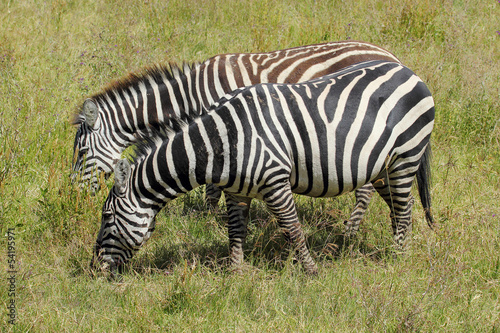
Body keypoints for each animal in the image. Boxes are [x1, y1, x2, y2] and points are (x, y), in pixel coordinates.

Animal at [71, 40, 398, 233]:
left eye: (82, 153)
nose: (75, 198)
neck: (190, 95)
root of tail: (390, 55)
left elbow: (212, 187)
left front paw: (208, 218)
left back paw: (350, 230)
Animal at [92, 60, 436, 274]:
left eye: (107, 217)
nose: (95, 270)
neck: (219, 141)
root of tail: (407, 70)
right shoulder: (235, 191)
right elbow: (235, 230)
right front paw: (235, 272)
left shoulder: (275, 181)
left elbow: (293, 229)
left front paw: (311, 272)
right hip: (381, 165)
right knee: (398, 207)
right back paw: (386, 246)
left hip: (406, 156)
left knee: (404, 207)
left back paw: (397, 258)